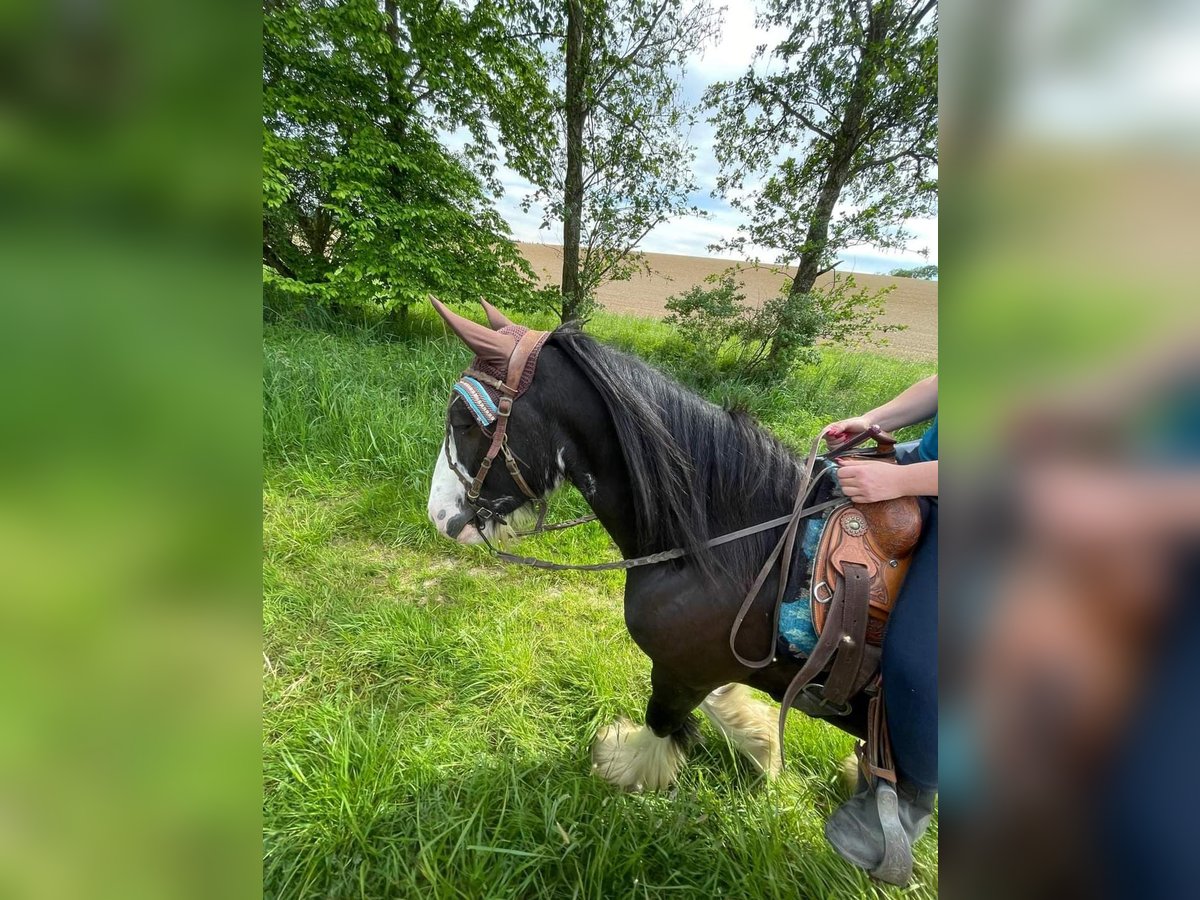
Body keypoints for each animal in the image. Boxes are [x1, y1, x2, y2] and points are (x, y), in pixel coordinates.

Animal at [427, 300, 878, 792]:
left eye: (464, 422)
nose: (439, 516)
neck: (735, 551)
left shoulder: (681, 669)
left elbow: (662, 720)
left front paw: (626, 767)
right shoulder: (704, 666)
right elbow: (717, 702)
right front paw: (763, 746)